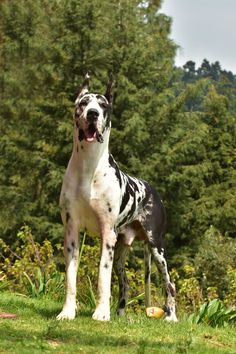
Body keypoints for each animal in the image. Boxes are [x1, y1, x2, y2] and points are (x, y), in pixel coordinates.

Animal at [56, 74, 176, 320]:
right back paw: (120, 314)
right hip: (121, 252)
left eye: (103, 105)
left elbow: (103, 278)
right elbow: (71, 278)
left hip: (156, 247)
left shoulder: (107, 235)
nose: (93, 113)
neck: (88, 167)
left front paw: (101, 314)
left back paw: (171, 316)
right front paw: (67, 312)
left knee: (170, 284)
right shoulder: (71, 232)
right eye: (83, 103)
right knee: (125, 282)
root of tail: (152, 189)